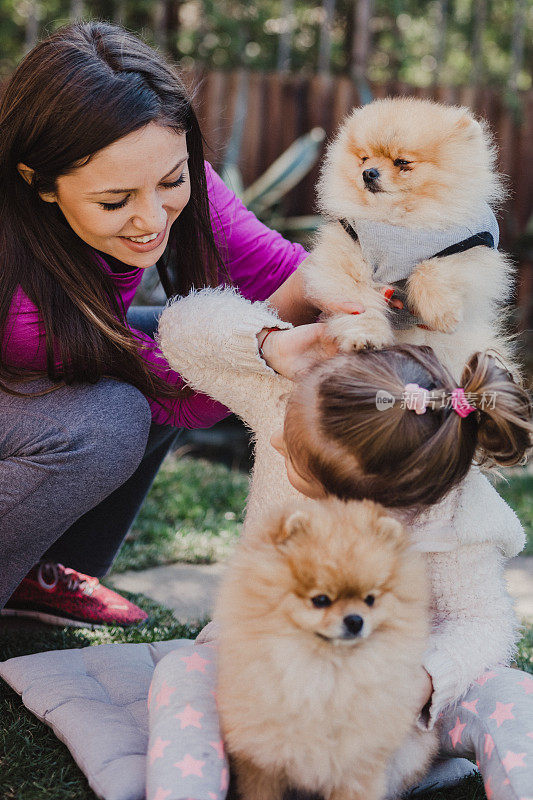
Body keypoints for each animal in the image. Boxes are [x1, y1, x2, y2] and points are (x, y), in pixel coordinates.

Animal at [216, 500, 436, 800]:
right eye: (320, 600)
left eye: (370, 599)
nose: (355, 620)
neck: (328, 676)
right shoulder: (262, 760)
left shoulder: (357, 764)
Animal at [304, 97, 516, 382]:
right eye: (364, 158)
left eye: (402, 162)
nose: (368, 172)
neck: (399, 222)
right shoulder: (349, 250)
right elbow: (360, 304)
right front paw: (366, 337)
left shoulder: (471, 247)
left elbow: (432, 268)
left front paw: (443, 313)